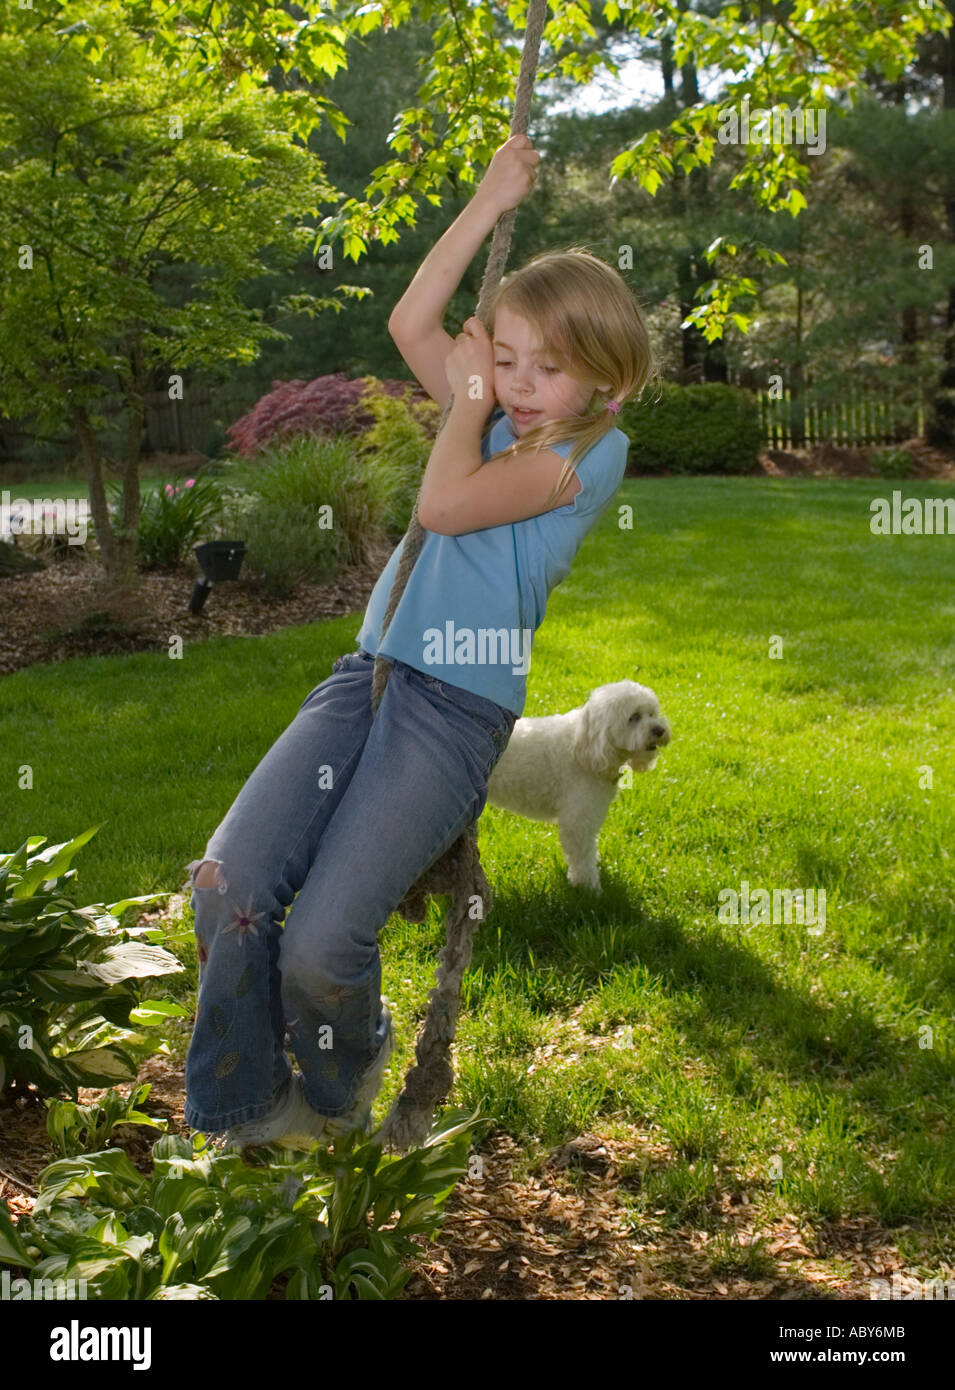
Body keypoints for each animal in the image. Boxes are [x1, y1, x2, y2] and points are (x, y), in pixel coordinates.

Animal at [486, 681, 672, 889]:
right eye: (634, 717)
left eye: (652, 714)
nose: (659, 730)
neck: (585, 749)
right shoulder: (578, 821)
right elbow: (582, 858)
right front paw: (589, 886)